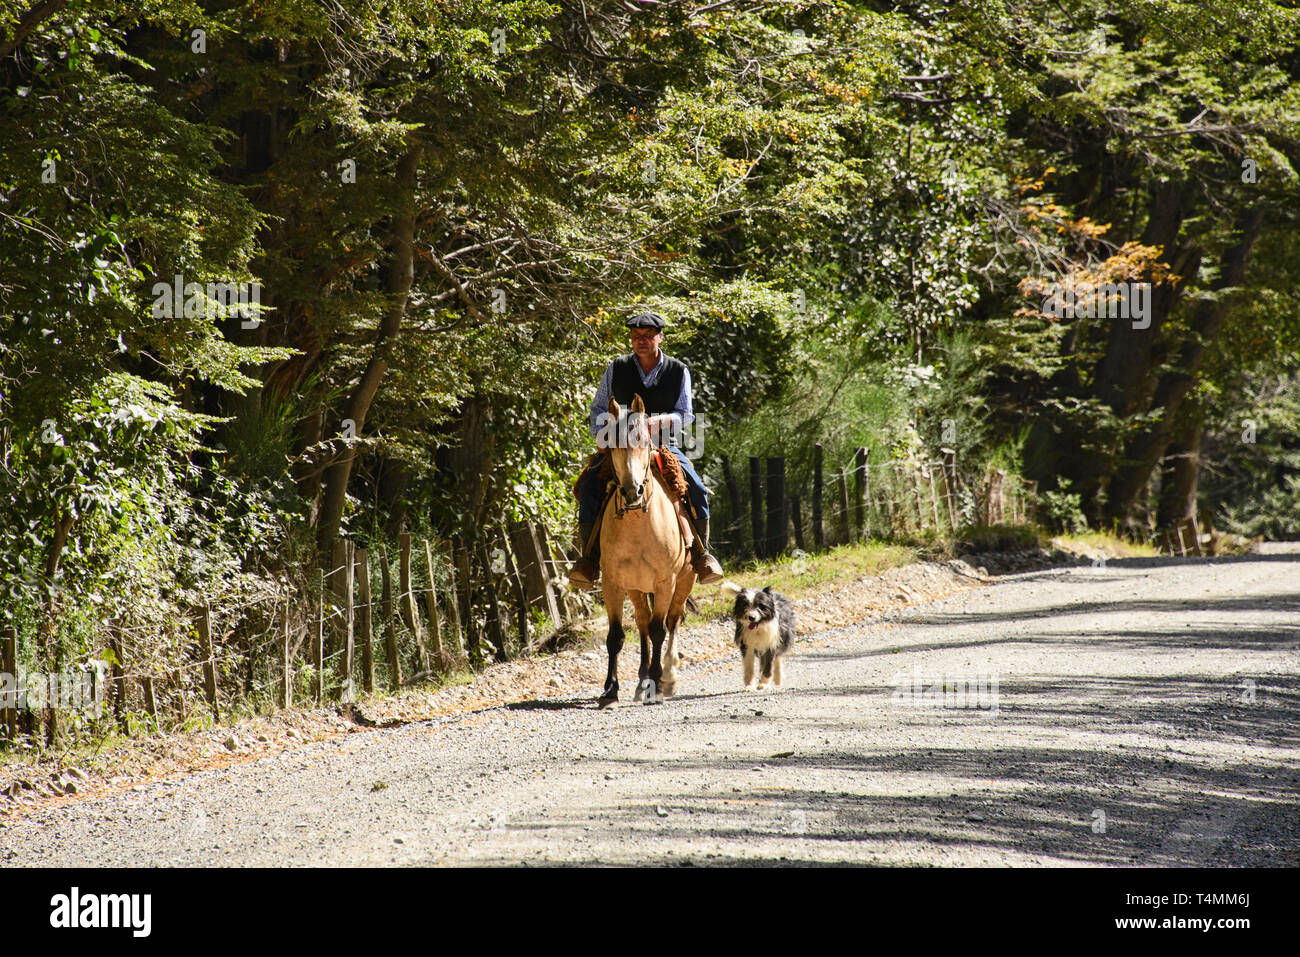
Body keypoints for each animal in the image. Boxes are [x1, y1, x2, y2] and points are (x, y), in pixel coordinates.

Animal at [595, 392, 696, 707]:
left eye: (643, 440)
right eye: (612, 443)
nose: (632, 491)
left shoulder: (666, 581)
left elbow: (659, 630)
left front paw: (658, 685)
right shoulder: (613, 582)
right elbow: (616, 635)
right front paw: (610, 690)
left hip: (684, 582)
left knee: (672, 621)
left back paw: (667, 678)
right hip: (637, 588)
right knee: (641, 622)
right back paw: (641, 683)